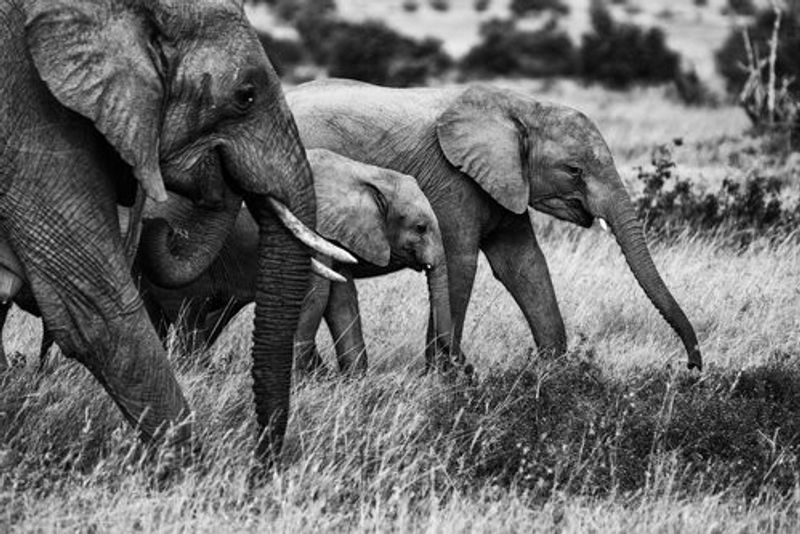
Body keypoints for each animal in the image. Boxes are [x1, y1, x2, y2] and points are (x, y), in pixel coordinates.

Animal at [138, 148, 457, 374]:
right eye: (420, 228)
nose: (453, 368)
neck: (367, 174)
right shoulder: (313, 228)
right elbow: (314, 295)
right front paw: (301, 377)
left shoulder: (335, 237)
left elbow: (341, 298)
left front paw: (354, 380)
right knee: (187, 315)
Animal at [286, 79, 703, 371]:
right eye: (574, 170)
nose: (691, 367)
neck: (523, 107)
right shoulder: (450, 181)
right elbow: (460, 264)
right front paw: (445, 377)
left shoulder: (506, 182)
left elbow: (524, 264)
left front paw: (557, 376)